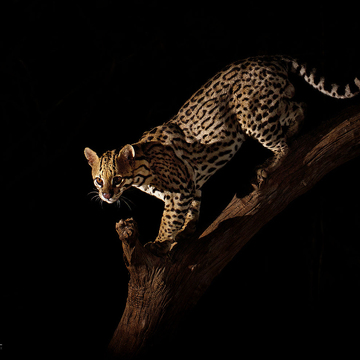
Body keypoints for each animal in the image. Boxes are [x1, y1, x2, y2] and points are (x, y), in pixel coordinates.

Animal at [85, 54, 360, 256]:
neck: (141, 172)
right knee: (300, 105)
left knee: (285, 138)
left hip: (249, 113)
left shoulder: (179, 189)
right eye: (98, 180)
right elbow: (192, 209)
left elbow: (169, 219)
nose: (106, 195)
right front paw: (187, 231)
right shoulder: (191, 183)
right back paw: (292, 131)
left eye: (117, 179)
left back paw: (270, 163)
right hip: (269, 105)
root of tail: (267, 57)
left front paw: (161, 242)